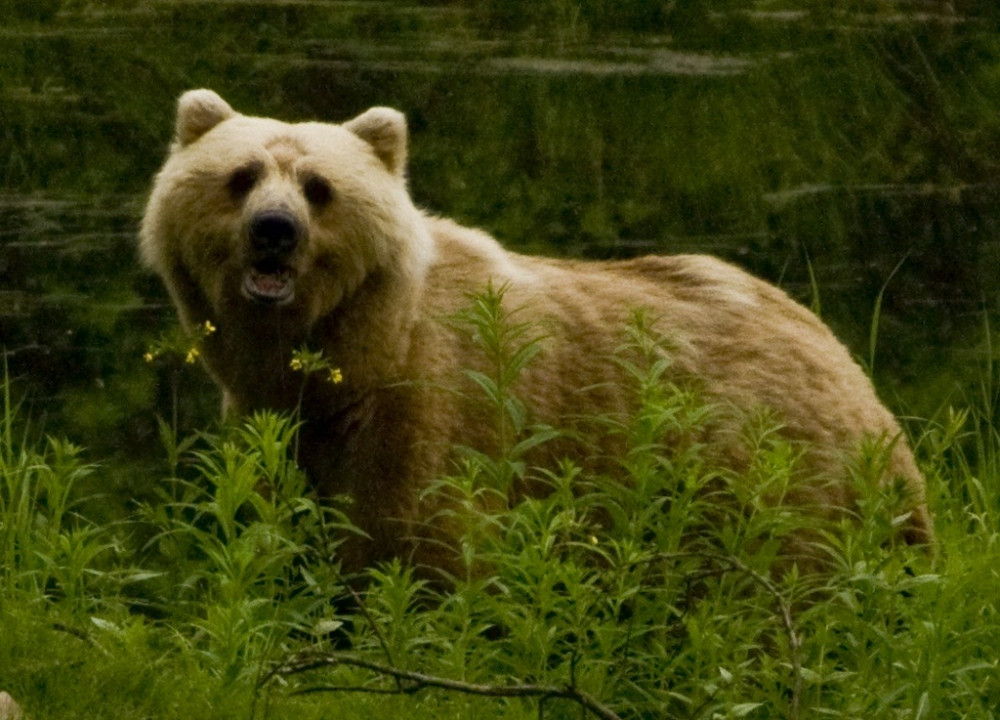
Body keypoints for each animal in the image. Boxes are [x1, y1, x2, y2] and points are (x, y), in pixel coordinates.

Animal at [140, 89, 933, 576]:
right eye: (241, 175)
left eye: (318, 187)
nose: (275, 231)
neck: (354, 358)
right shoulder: (280, 429)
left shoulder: (431, 420)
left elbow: (426, 553)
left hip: (766, 477)